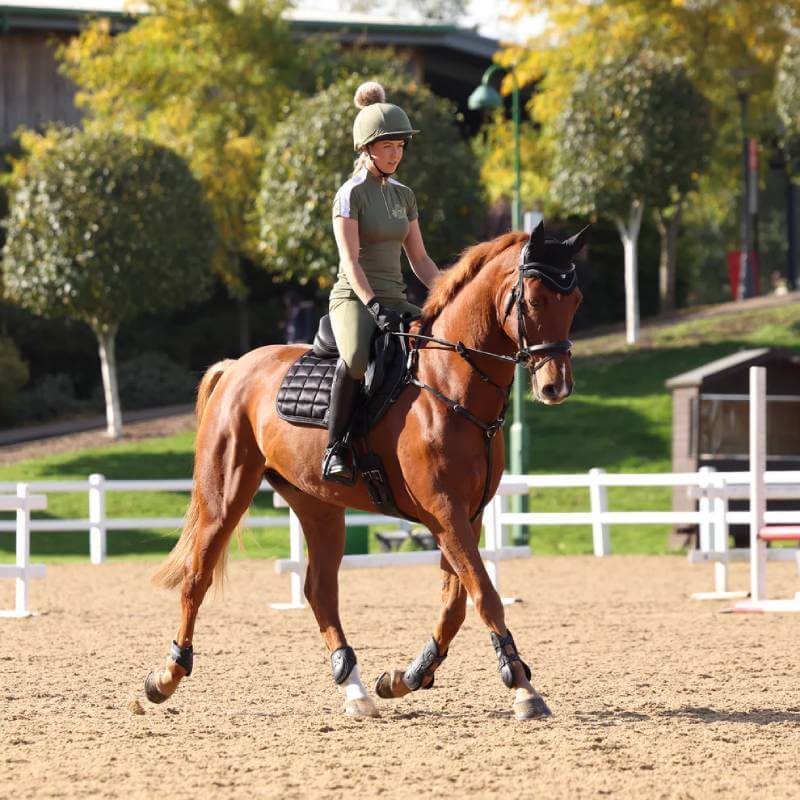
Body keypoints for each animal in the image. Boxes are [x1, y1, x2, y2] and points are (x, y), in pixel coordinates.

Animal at [144, 220, 586, 720]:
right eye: (533, 300)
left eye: (575, 301)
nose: (556, 386)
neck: (448, 383)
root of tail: (237, 366)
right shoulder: (445, 512)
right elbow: (485, 596)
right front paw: (523, 688)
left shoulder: (464, 516)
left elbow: (455, 603)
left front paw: (406, 677)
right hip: (224, 496)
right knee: (196, 579)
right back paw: (166, 677)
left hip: (317, 506)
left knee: (320, 590)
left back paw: (354, 688)